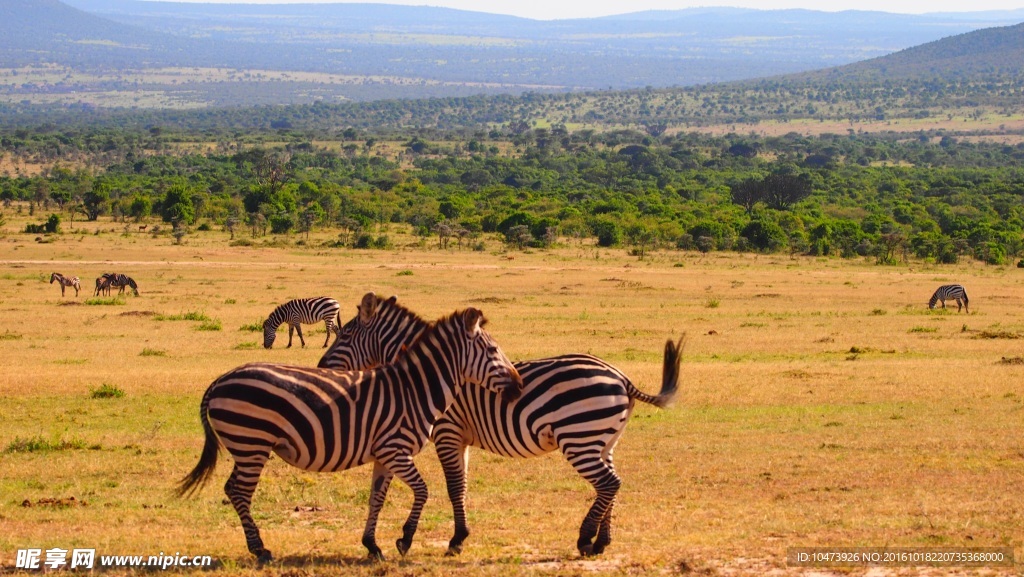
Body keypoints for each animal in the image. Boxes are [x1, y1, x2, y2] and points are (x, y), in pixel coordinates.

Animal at [176, 309, 524, 561]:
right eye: (493, 349)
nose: (519, 387)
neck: (414, 390)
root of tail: (220, 380)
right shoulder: (396, 450)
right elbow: (423, 491)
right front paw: (405, 539)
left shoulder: (384, 455)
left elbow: (376, 499)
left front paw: (372, 545)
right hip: (252, 444)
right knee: (239, 492)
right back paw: (260, 549)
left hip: (248, 446)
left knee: (233, 489)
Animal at [317, 295, 688, 557]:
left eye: (345, 334)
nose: (320, 366)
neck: (430, 375)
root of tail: (621, 377)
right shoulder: (460, 438)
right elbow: (462, 486)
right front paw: (459, 536)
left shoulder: (448, 432)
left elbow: (454, 487)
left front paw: (455, 540)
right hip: (603, 441)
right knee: (610, 484)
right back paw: (601, 542)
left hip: (579, 438)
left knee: (608, 483)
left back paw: (585, 539)